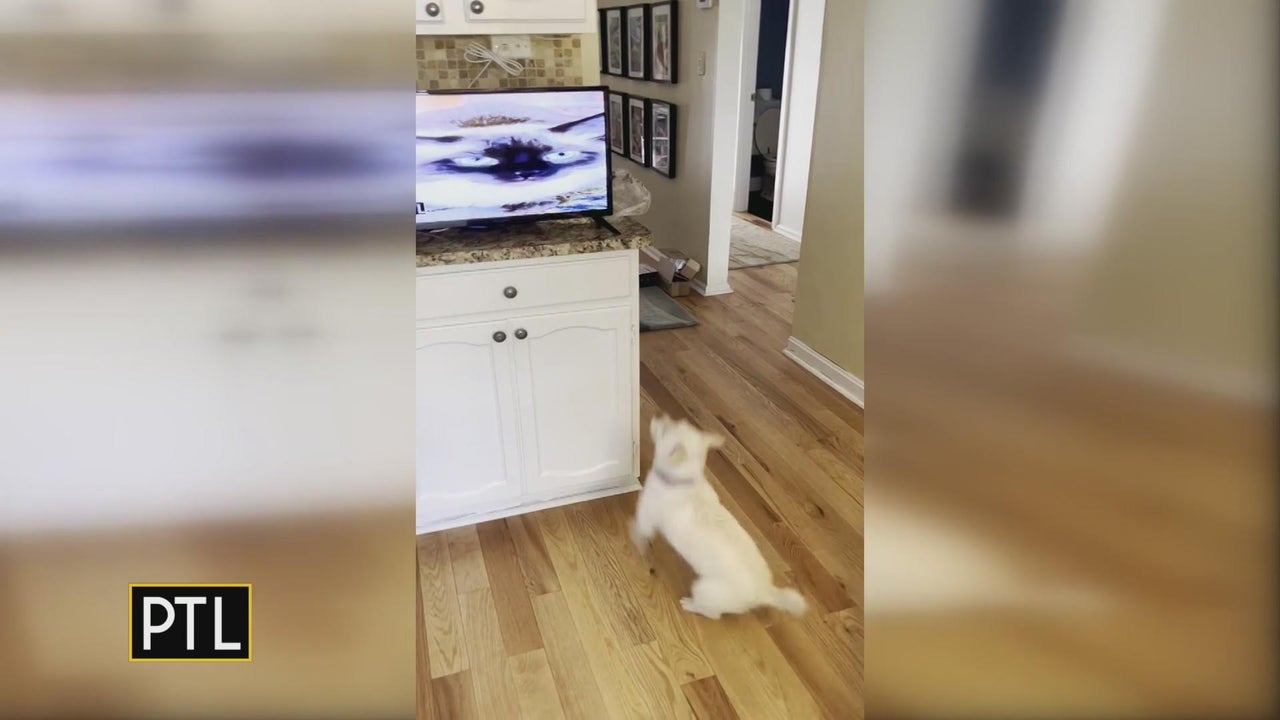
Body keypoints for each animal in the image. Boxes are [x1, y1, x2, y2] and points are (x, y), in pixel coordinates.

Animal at [630, 415, 807, 619]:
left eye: (666, 428)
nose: (659, 416)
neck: (685, 480)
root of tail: (763, 592)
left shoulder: (647, 516)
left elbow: (639, 528)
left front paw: (636, 540)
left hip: (704, 589)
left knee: (712, 613)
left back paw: (690, 604)